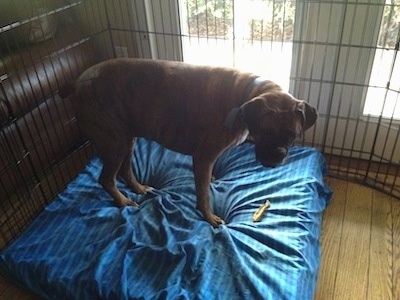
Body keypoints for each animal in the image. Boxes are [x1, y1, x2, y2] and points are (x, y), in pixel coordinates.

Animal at [64, 58, 318, 227]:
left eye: (292, 135)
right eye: (266, 132)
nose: (277, 157)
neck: (245, 96)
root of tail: (78, 83)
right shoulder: (203, 157)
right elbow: (203, 194)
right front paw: (209, 217)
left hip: (127, 140)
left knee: (125, 172)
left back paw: (139, 189)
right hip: (115, 143)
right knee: (106, 179)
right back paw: (123, 201)